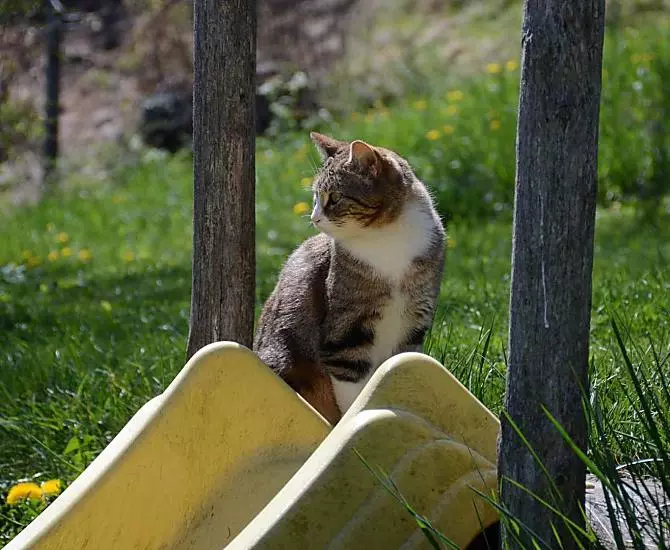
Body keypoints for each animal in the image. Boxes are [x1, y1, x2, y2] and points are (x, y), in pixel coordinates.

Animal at [253, 132, 445, 424]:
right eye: (315, 198)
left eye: (334, 197)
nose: (314, 218)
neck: (386, 238)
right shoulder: (346, 334)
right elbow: (353, 392)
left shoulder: (414, 324)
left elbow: (400, 368)